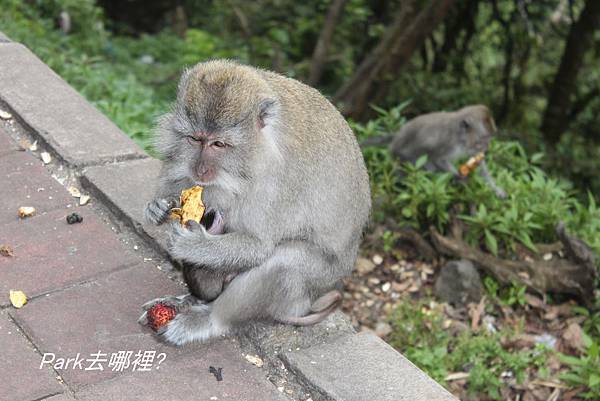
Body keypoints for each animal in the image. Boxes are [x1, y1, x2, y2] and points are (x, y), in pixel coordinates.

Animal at [141, 58, 372, 344]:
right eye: (195, 139)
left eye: (219, 144)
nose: (200, 170)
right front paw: (158, 208)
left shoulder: (276, 182)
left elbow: (259, 245)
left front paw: (194, 244)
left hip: (316, 281)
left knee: (286, 262)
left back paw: (211, 318)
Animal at [360, 104, 506, 198]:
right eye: (484, 138)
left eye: (490, 138)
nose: (487, 148)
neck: (460, 137)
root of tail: (397, 136)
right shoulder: (447, 141)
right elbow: (438, 158)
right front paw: (458, 176)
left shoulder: (470, 148)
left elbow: (479, 163)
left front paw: (496, 189)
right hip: (398, 154)